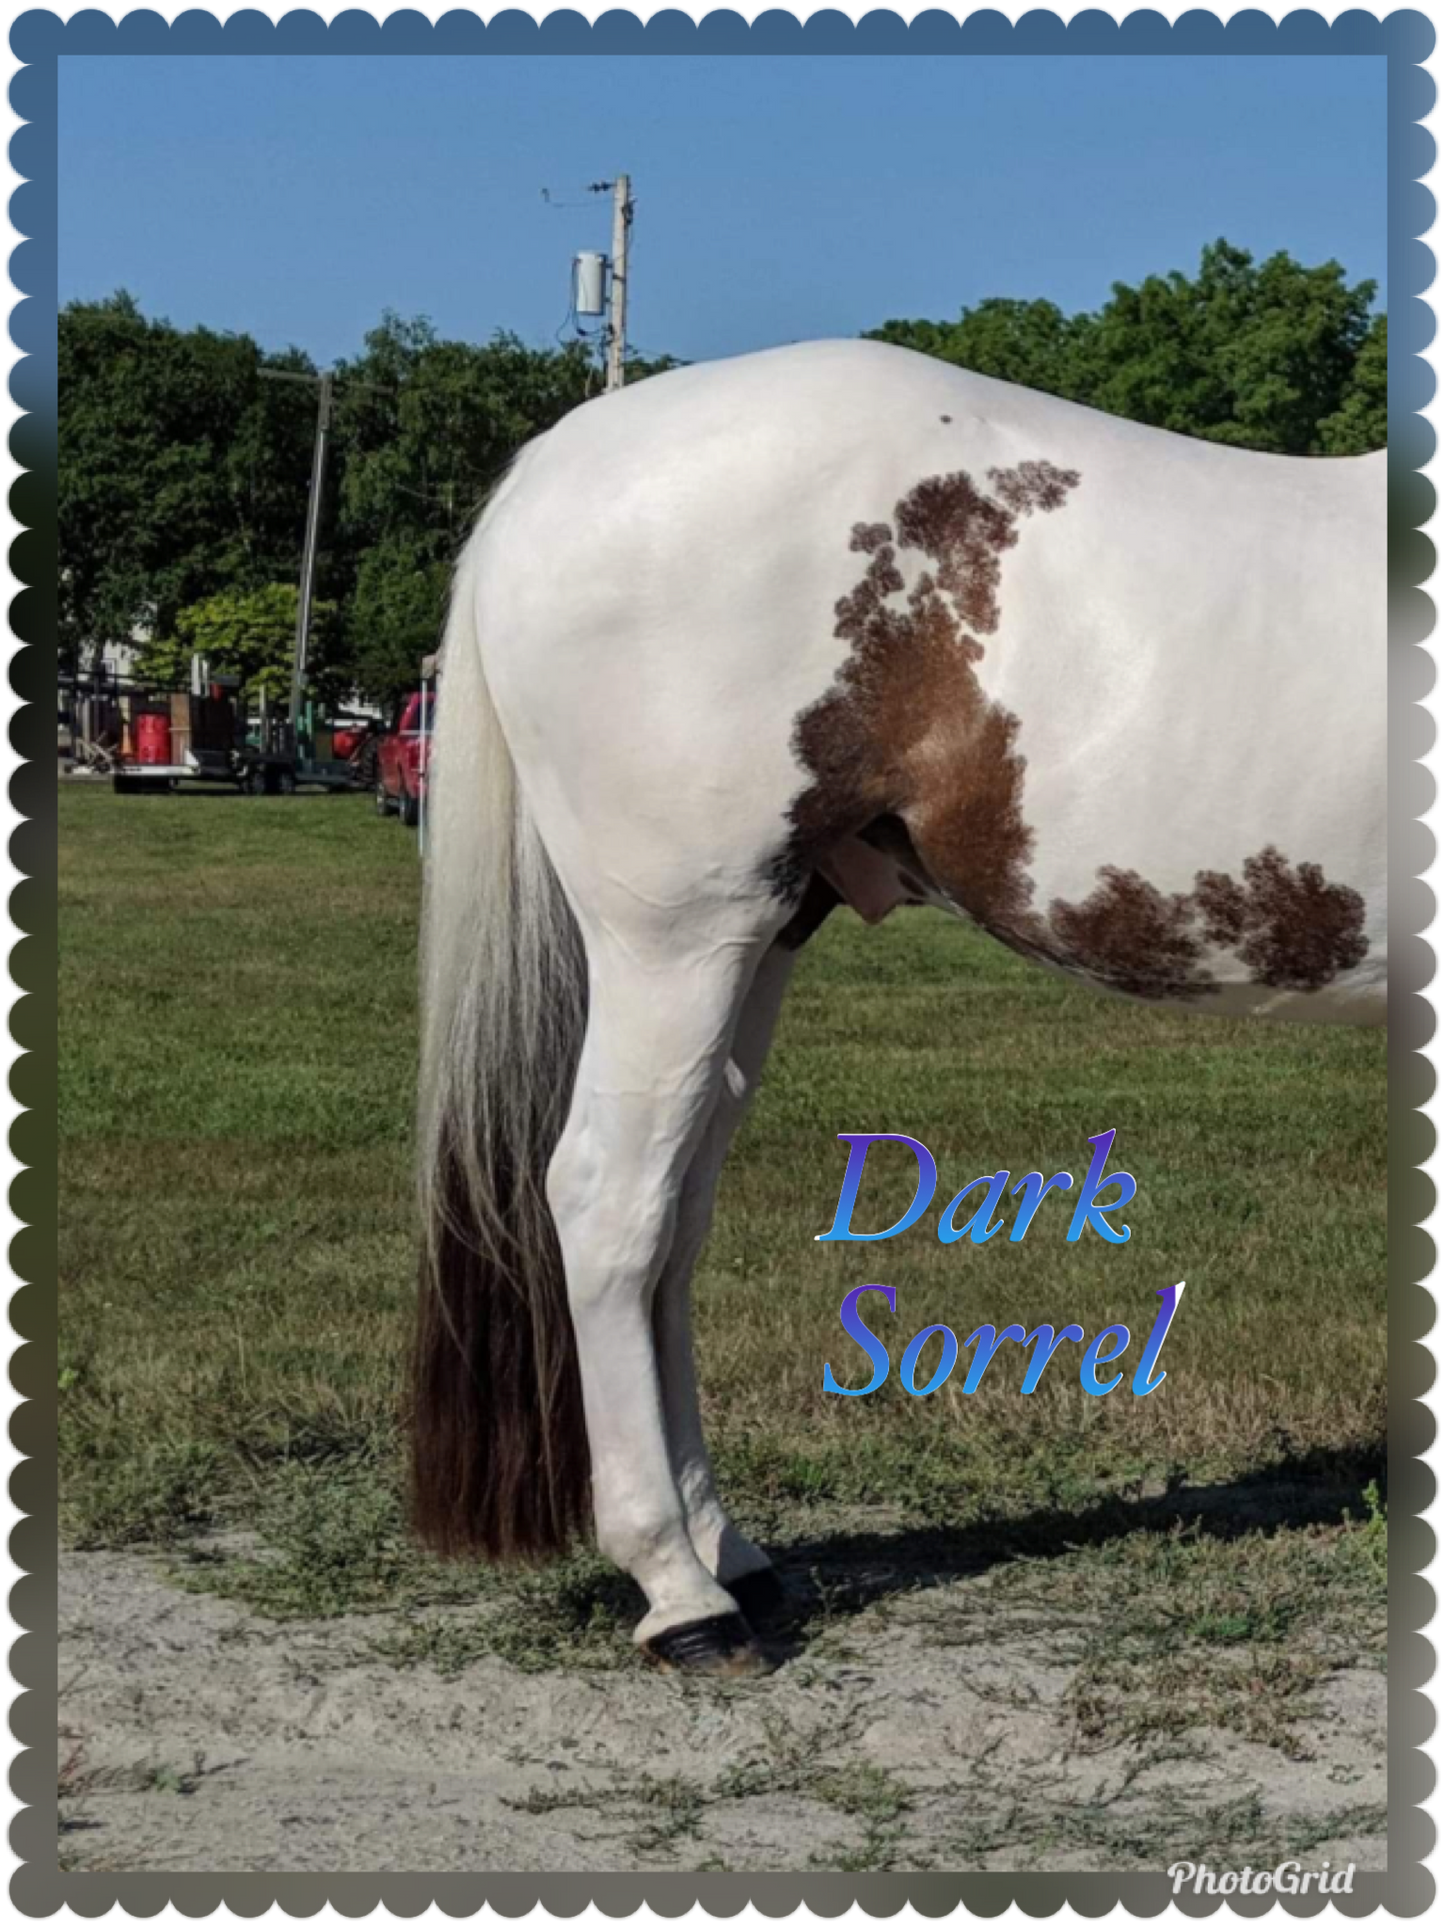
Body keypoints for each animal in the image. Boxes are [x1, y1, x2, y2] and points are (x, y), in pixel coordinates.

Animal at [406, 337, 1386, 1678]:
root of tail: (557, 459)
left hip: (755, 940)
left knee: (674, 1221)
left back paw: (732, 1556)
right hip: (674, 938)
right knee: (608, 1204)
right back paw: (682, 1594)